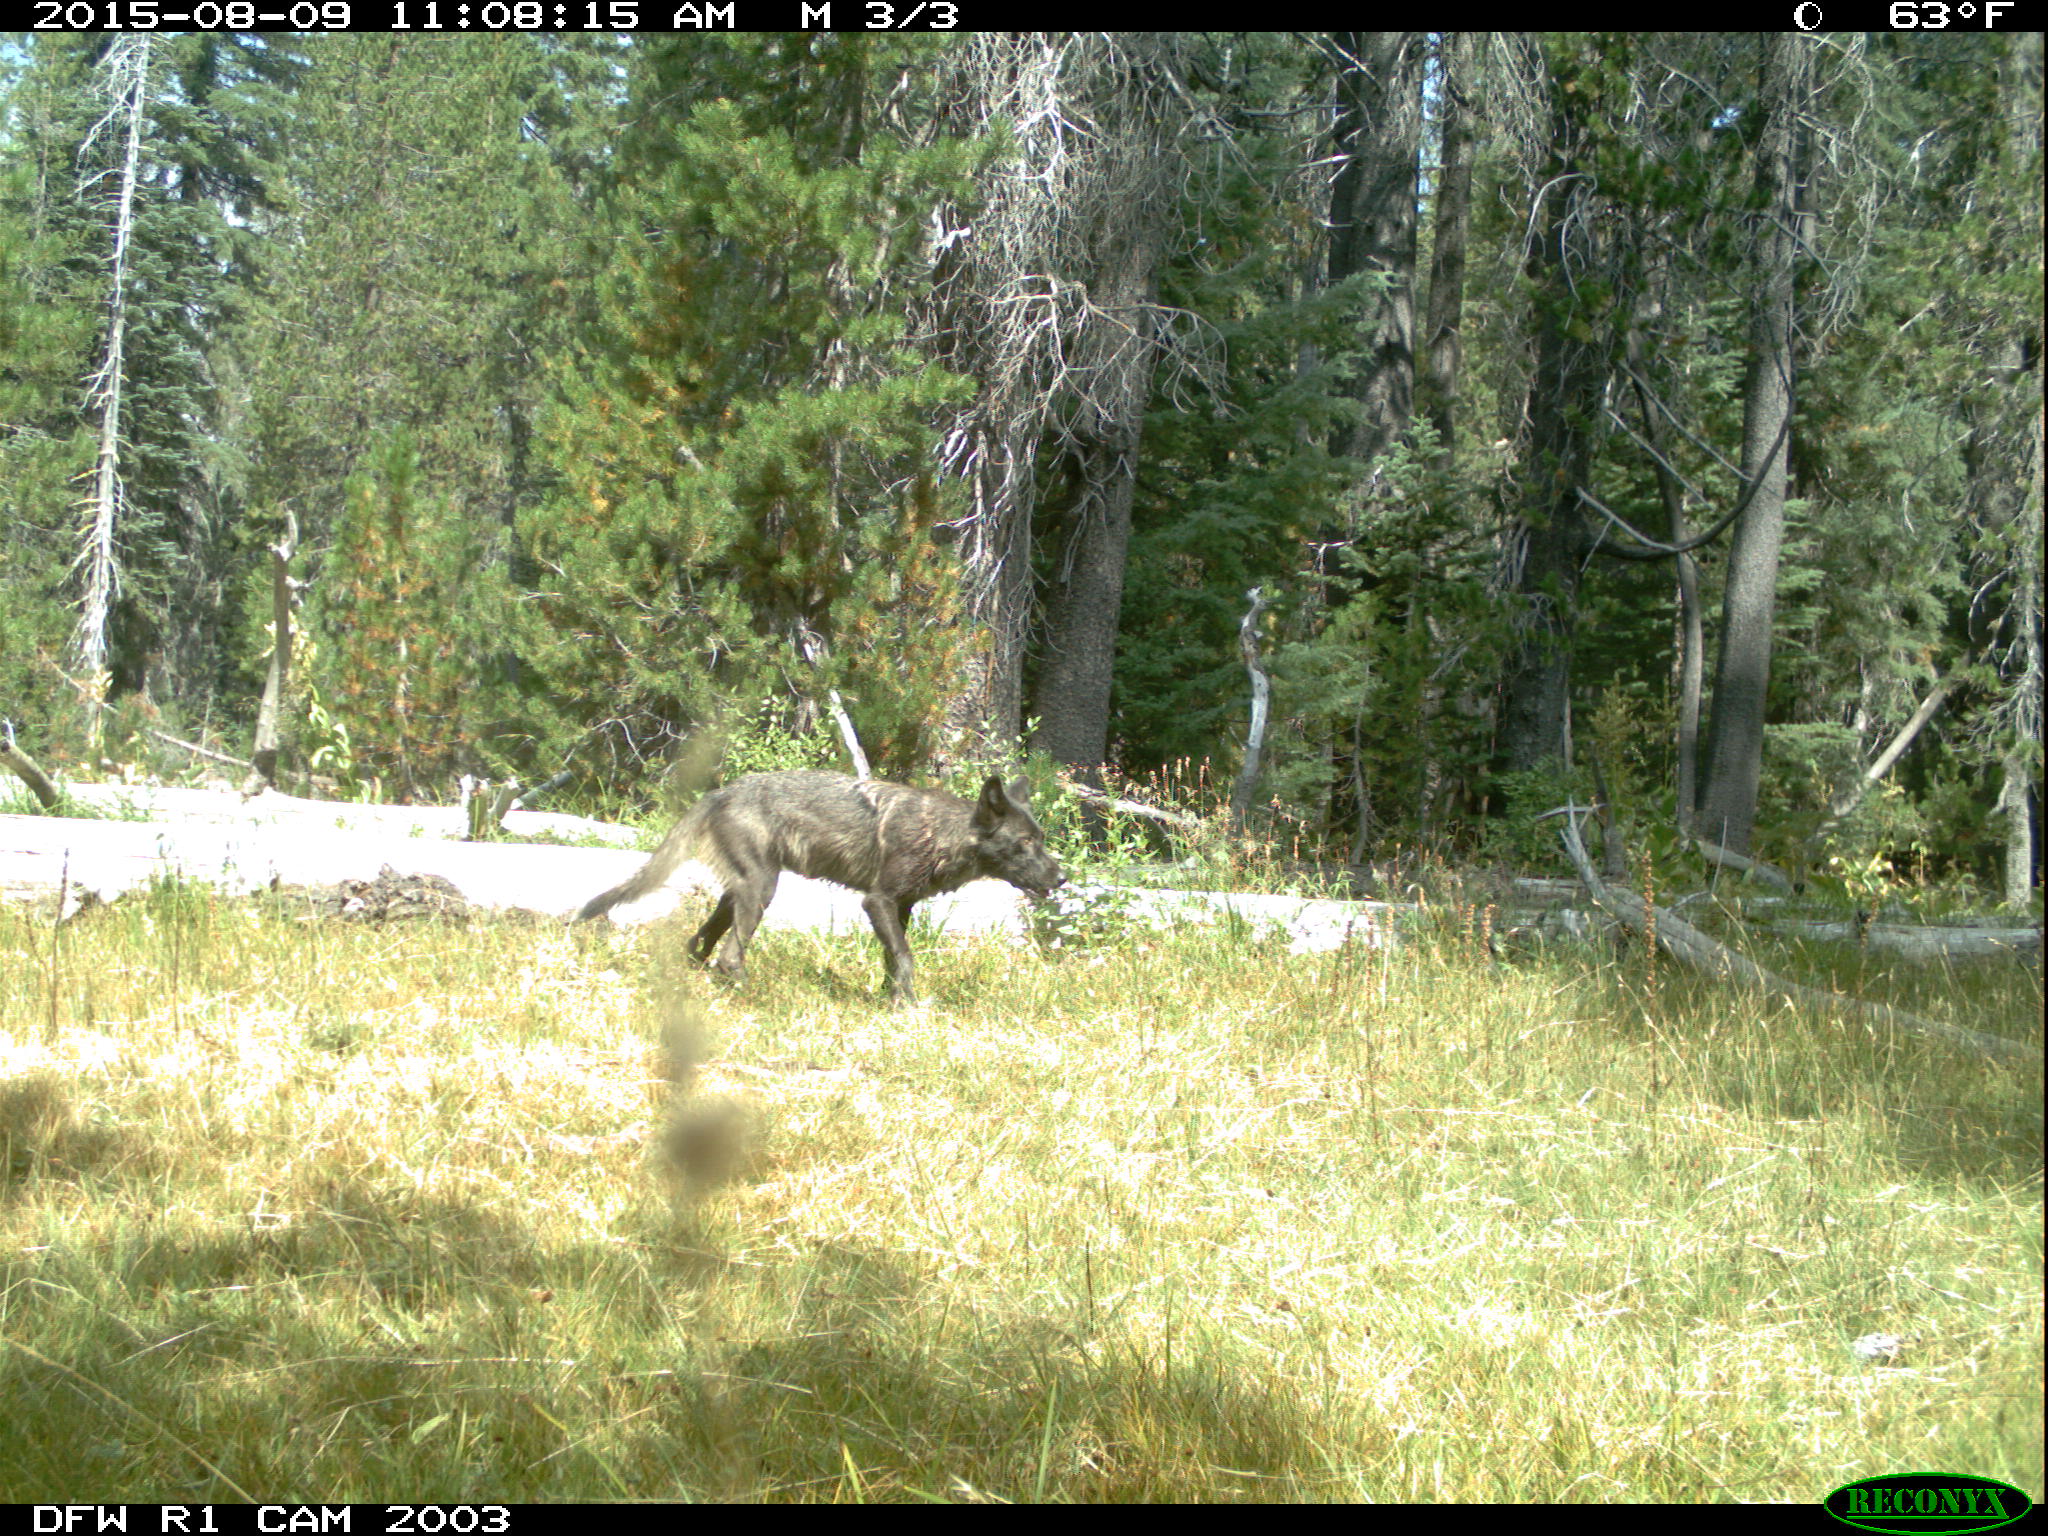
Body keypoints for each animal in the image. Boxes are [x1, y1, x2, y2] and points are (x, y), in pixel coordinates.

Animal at [573, 770, 1064, 1011]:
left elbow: (893, 959)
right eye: (1025, 843)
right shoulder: (878, 901)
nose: (1061, 879)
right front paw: (908, 1008)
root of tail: (721, 792)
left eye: (1041, 839)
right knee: (730, 955)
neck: (943, 835)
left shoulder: (899, 907)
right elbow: (905, 958)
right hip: (761, 890)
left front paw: (890, 1001)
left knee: (700, 942)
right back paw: (752, 997)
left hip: (739, 893)